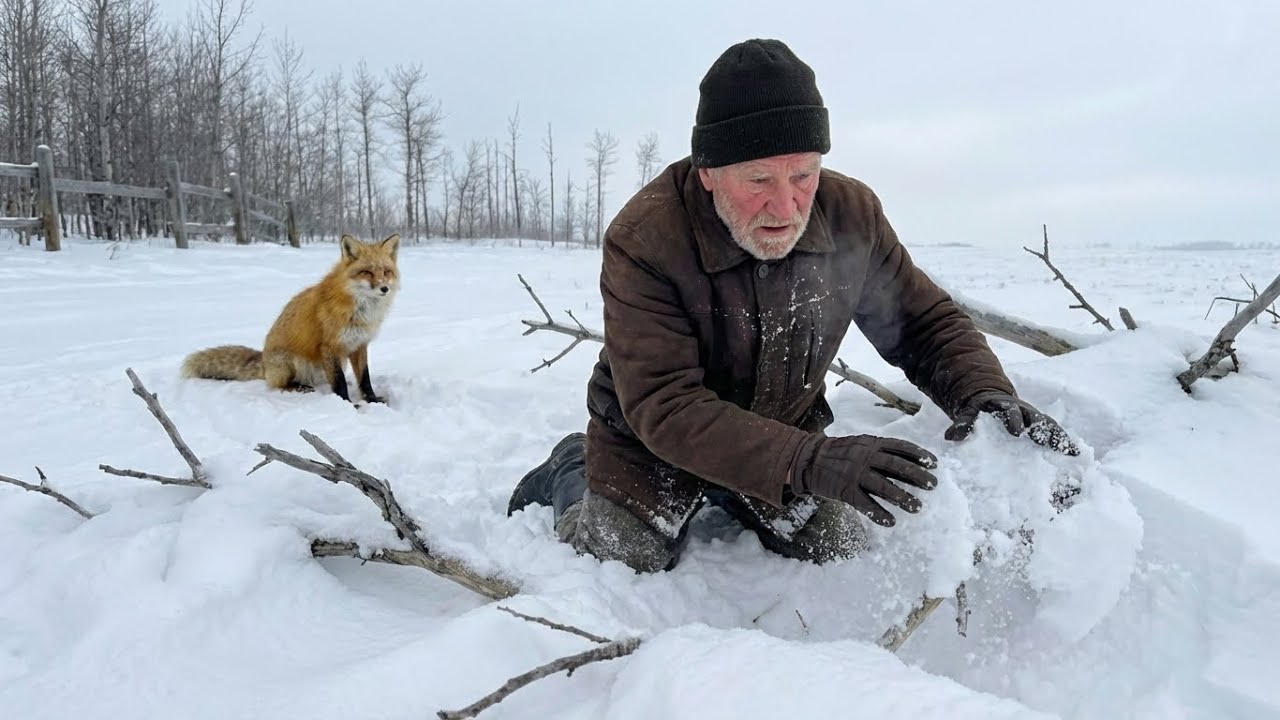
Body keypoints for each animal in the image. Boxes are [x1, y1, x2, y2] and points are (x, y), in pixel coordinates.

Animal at [181, 233, 401, 404]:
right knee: (278, 385)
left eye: (386, 272)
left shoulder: (359, 344)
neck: (360, 310)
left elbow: (364, 378)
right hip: (292, 362)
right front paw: (347, 405)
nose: (384, 288)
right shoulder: (329, 346)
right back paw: (297, 387)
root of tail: (264, 362)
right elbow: (338, 382)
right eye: (367, 272)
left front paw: (372, 399)